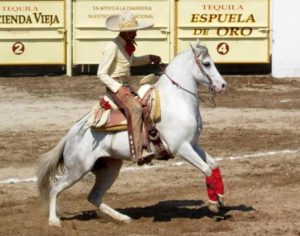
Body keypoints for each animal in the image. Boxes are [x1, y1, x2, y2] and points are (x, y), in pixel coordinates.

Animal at [37, 41, 225, 226]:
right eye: (207, 63)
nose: (222, 85)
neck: (175, 101)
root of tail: (72, 133)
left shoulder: (193, 144)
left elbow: (214, 165)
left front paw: (220, 197)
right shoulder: (181, 148)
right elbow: (206, 169)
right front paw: (213, 204)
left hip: (109, 168)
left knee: (94, 196)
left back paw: (123, 218)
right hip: (78, 169)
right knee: (55, 188)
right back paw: (54, 220)